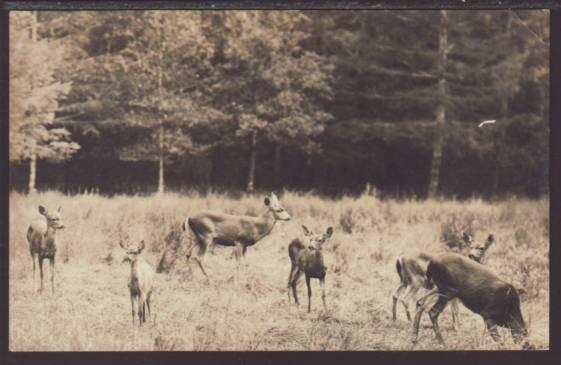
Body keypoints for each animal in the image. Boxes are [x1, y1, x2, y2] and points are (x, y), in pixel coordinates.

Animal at [156, 192, 290, 274]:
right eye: (279, 209)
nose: (289, 217)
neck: (256, 226)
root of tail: (189, 217)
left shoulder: (245, 245)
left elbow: (246, 263)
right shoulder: (238, 241)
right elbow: (238, 263)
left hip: (197, 238)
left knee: (188, 254)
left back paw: (192, 274)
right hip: (206, 236)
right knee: (199, 257)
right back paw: (208, 277)